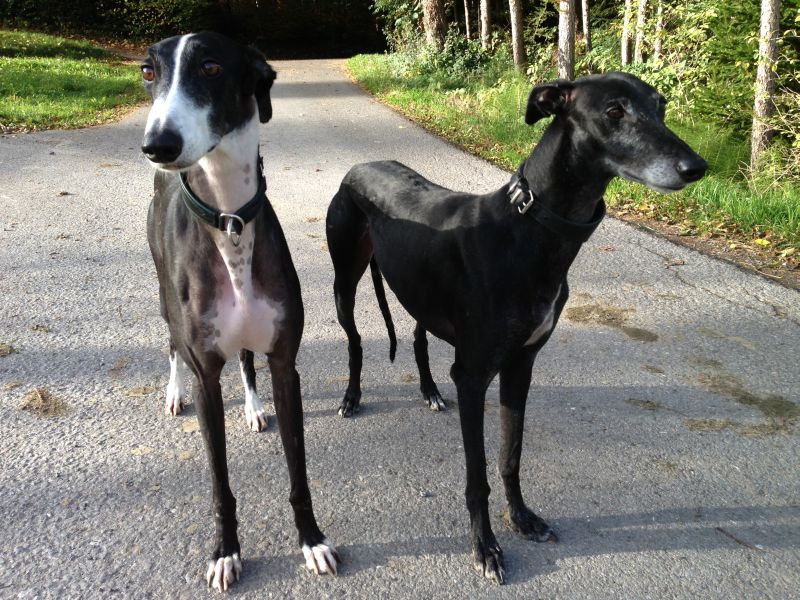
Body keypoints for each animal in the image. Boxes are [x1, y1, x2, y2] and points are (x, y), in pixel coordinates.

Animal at [140, 32, 339, 591]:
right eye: (148, 72)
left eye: (210, 66)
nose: (157, 145)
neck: (229, 219)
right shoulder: (207, 374)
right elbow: (220, 485)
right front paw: (225, 551)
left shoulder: (285, 363)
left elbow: (299, 472)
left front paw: (312, 540)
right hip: (164, 298)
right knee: (170, 344)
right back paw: (172, 393)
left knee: (247, 360)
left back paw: (252, 407)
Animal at [326, 72, 707, 583]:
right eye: (614, 111)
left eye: (661, 106)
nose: (696, 167)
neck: (530, 229)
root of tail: (359, 167)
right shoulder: (472, 376)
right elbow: (477, 475)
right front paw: (486, 547)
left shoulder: (520, 365)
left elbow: (510, 455)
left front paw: (522, 517)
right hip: (344, 281)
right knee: (355, 343)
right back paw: (351, 397)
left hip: (417, 290)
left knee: (418, 338)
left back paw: (429, 391)